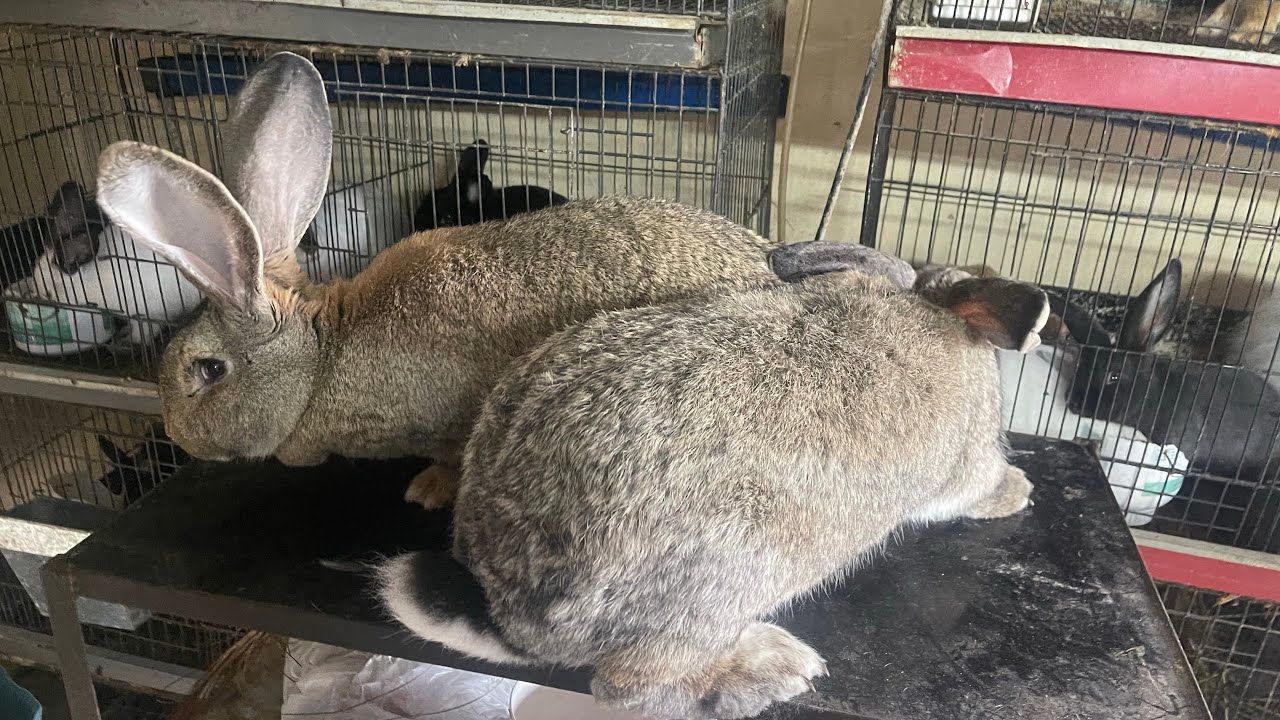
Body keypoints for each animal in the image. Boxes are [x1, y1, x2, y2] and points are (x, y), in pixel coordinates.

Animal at [378, 264, 1048, 720]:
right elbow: (975, 485)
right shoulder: (965, 465)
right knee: (633, 684)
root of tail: (511, 611)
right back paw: (769, 669)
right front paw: (1017, 489)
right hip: (738, 566)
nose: (1025, 488)